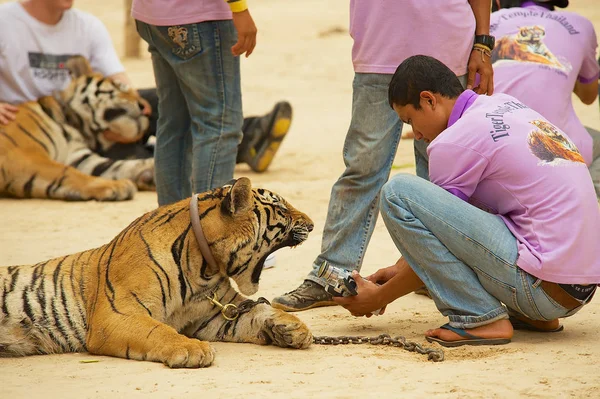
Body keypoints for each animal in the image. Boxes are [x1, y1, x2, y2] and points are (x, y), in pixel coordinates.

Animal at [0, 54, 155, 202]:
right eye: (121, 87)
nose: (147, 109)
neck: (77, 127)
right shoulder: (23, 154)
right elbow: (67, 172)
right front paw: (117, 185)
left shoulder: (79, 158)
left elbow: (118, 165)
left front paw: (151, 169)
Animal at [0, 179, 314, 368]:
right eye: (281, 208)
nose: (311, 224)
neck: (206, 269)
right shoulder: (116, 314)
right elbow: (158, 330)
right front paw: (193, 349)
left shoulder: (214, 315)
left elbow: (257, 311)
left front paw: (294, 328)